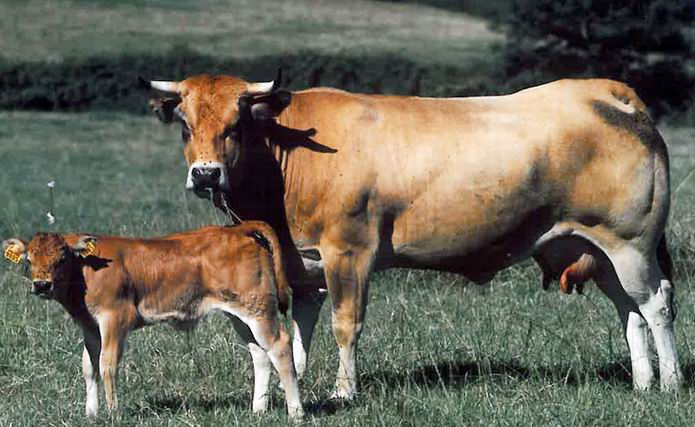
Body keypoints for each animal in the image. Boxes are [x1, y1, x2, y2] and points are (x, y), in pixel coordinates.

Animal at [2, 222, 302, 420]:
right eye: (29, 259)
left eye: (62, 257)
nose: (42, 285)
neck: (86, 270)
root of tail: (236, 230)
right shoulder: (89, 326)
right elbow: (89, 367)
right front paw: (91, 413)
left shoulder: (115, 319)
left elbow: (107, 365)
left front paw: (113, 412)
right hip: (240, 314)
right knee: (259, 354)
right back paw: (258, 409)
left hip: (259, 310)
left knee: (280, 346)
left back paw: (296, 412)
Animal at [145, 75, 684, 400]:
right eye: (185, 126)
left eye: (236, 124)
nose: (206, 174)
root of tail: (601, 90)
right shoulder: (304, 263)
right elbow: (301, 327)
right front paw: (288, 385)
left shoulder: (349, 253)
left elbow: (345, 325)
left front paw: (344, 392)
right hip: (600, 248)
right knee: (629, 311)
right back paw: (642, 382)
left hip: (631, 243)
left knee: (655, 305)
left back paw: (671, 382)